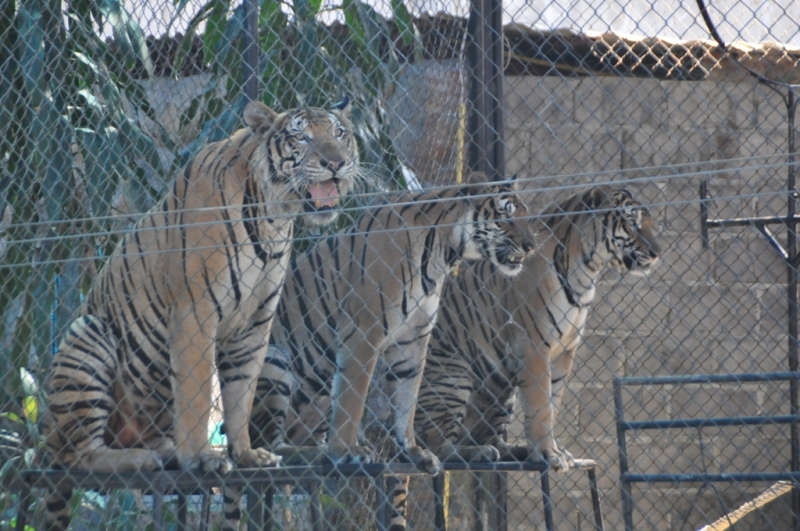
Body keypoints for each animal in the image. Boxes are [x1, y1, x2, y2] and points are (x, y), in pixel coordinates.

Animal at [41, 96, 360, 531]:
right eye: (302, 137)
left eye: (340, 133)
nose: (336, 162)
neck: (274, 218)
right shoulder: (195, 312)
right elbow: (197, 392)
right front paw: (202, 459)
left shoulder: (256, 325)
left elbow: (241, 395)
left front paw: (245, 454)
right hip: (87, 333)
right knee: (77, 456)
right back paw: (143, 458)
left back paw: (165, 451)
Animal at [250, 171, 536, 478]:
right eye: (505, 216)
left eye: (526, 216)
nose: (531, 246)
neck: (443, 253)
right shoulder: (363, 333)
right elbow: (352, 401)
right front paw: (347, 452)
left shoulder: (413, 337)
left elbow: (407, 398)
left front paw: (414, 451)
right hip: (274, 359)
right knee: (269, 446)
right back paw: (319, 454)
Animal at [412, 184, 664, 474]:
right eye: (632, 223)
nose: (658, 252)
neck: (586, 271)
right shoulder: (534, 345)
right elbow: (540, 404)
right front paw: (548, 455)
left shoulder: (565, 349)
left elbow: (553, 402)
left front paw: (555, 451)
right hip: (454, 376)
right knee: (438, 446)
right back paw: (474, 453)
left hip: (499, 389)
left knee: (489, 437)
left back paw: (511, 450)